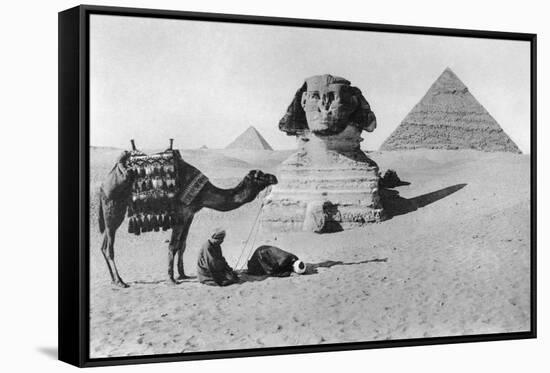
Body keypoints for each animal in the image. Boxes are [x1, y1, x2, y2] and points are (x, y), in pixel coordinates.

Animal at [97, 152, 278, 288]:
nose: (274, 177)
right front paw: (171, 279)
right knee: (109, 248)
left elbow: (182, 245)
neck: (203, 194)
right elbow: (172, 246)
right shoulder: (181, 213)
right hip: (113, 208)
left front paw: (182, 274)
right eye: (259, 175)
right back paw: (120, 281)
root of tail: (103, 184)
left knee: (104, 246)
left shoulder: (190, 215)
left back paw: (113, 280)